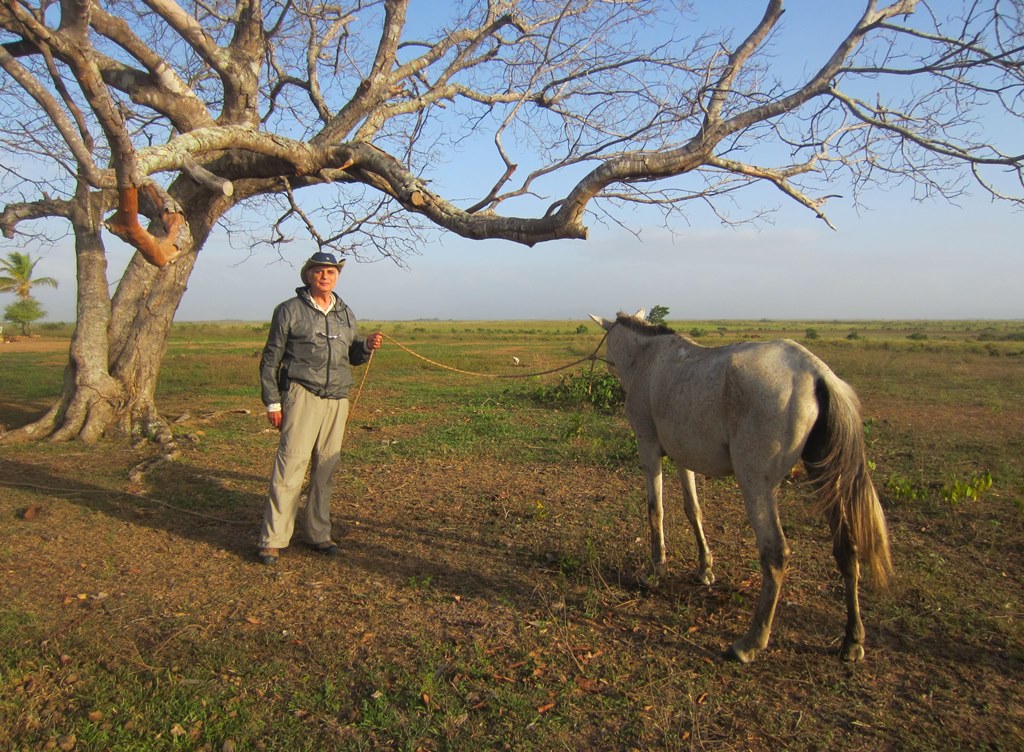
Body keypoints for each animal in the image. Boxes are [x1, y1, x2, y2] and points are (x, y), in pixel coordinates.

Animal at [589, 311, 892, 663]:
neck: (647, 358)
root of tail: (815, 374)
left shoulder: (648, 448)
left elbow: (656, 510)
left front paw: (656, 570)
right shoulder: (684, 456)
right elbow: (693, 511)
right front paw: (704, 568)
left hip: (755, 486)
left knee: (775, 555)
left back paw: (751, 642)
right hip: (825, 478)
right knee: (847, 548)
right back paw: (852, 640)